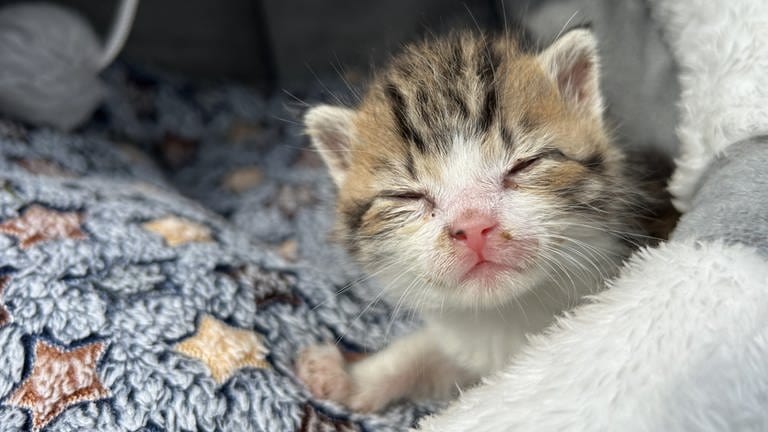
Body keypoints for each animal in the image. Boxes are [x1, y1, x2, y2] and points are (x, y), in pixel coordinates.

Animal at [294, 27, 664, 412]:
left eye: (524, 165)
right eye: (407, 196)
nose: (473, 227)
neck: (510, 316)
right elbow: (425, 352)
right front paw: (347, 377)